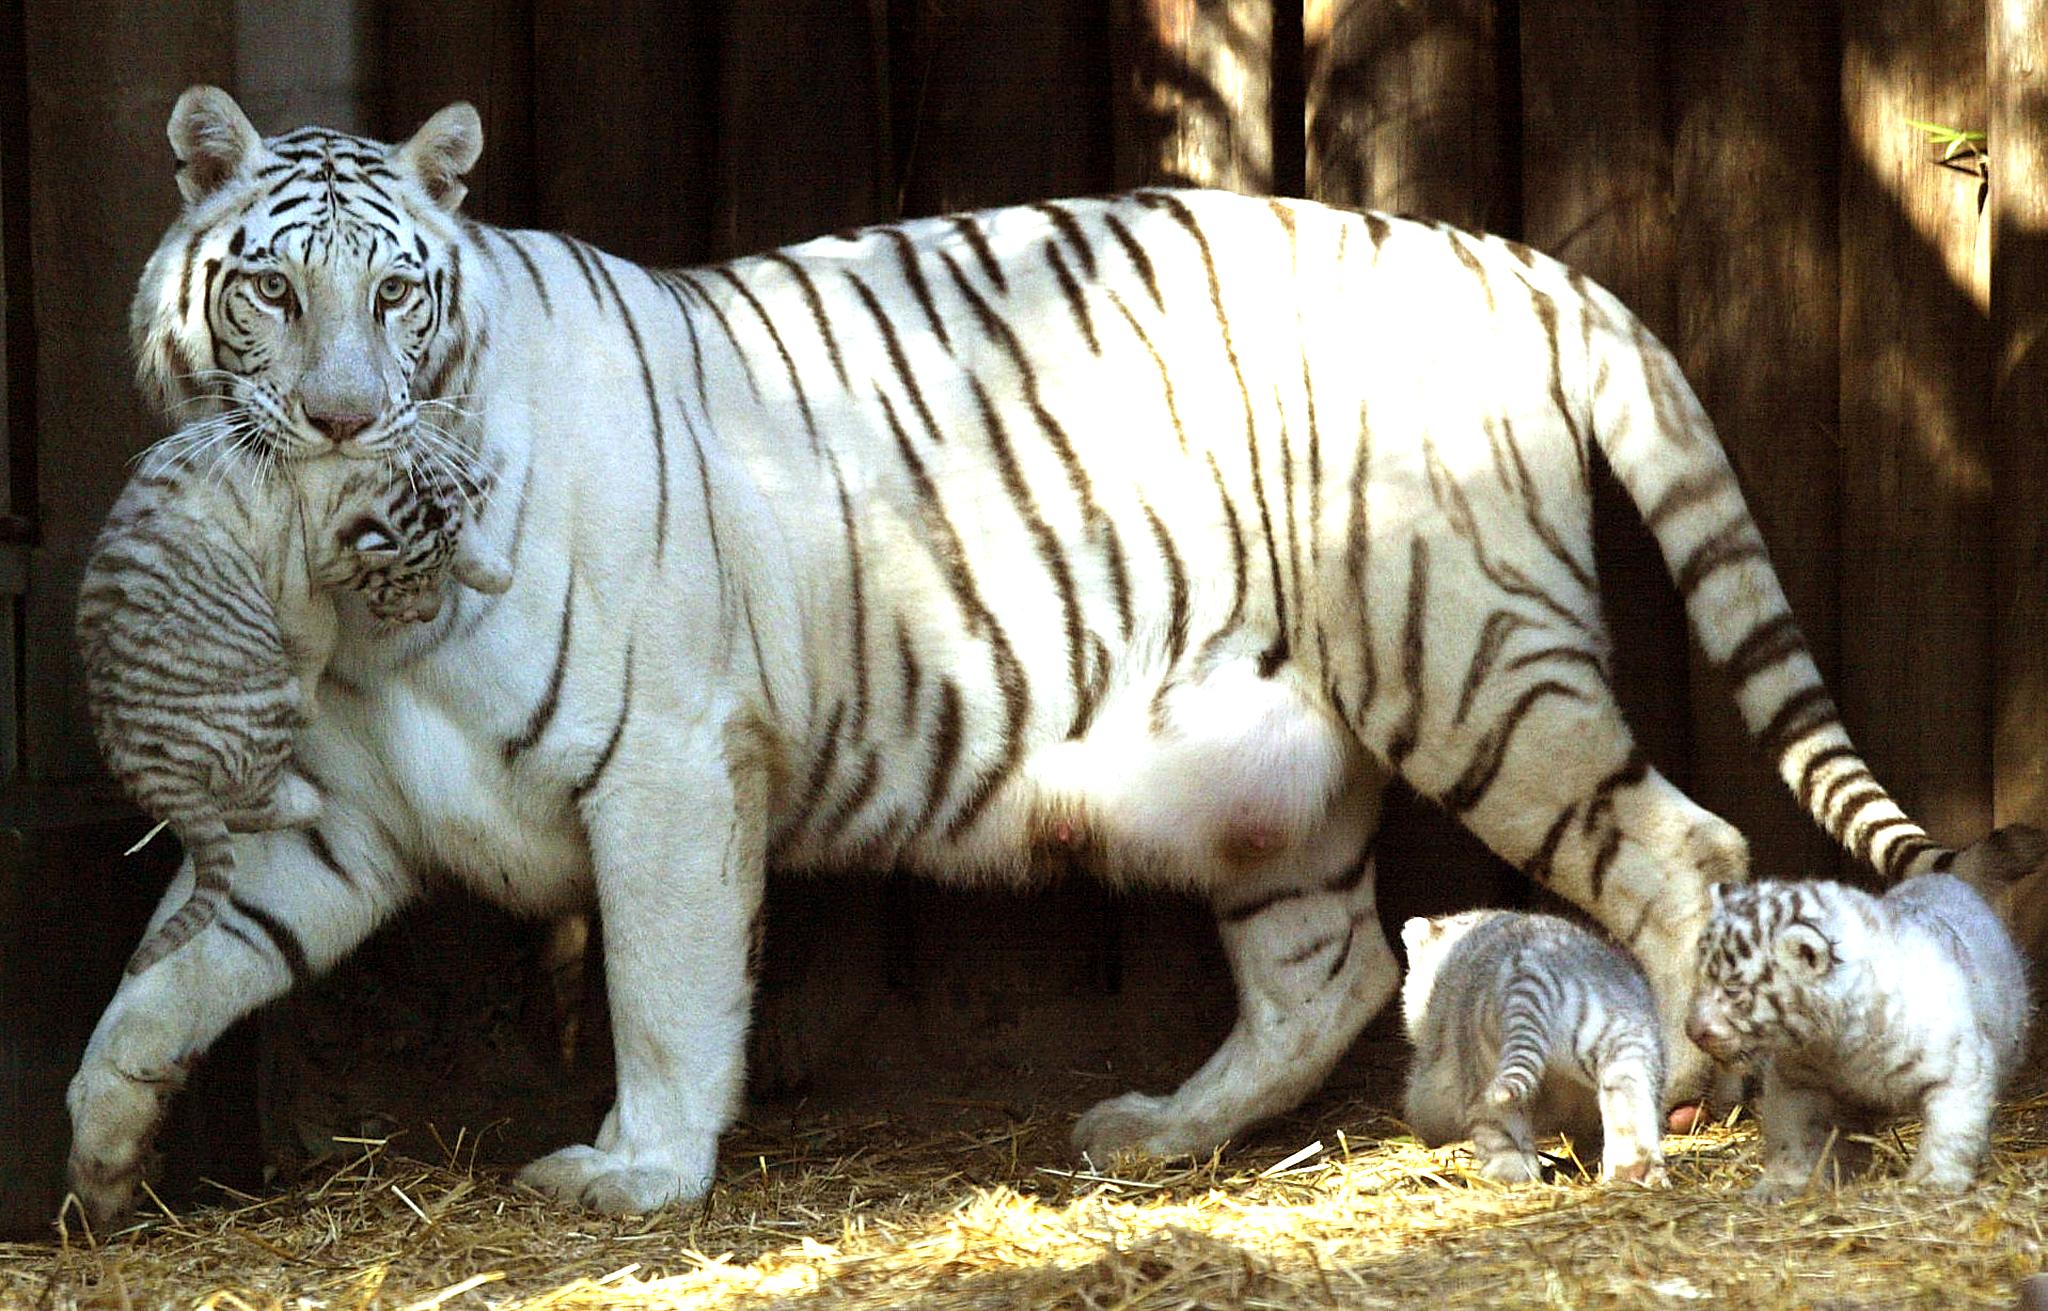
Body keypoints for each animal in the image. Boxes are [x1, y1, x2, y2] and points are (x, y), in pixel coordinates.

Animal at [59, 89, 2031, 1220]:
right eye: (268, 289)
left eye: (395, 294)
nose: (334, 424)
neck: (363, 604)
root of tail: (1507, 255)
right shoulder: (329, 814)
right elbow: (168, 977)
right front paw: (96, 1158)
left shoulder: (671, 764)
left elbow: (667, 989)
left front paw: (639, 1171)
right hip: (1275, 775)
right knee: (1321, 967)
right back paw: (1154, 1132)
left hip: (1467, 658)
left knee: (1678, 844)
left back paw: (1691, 1085)